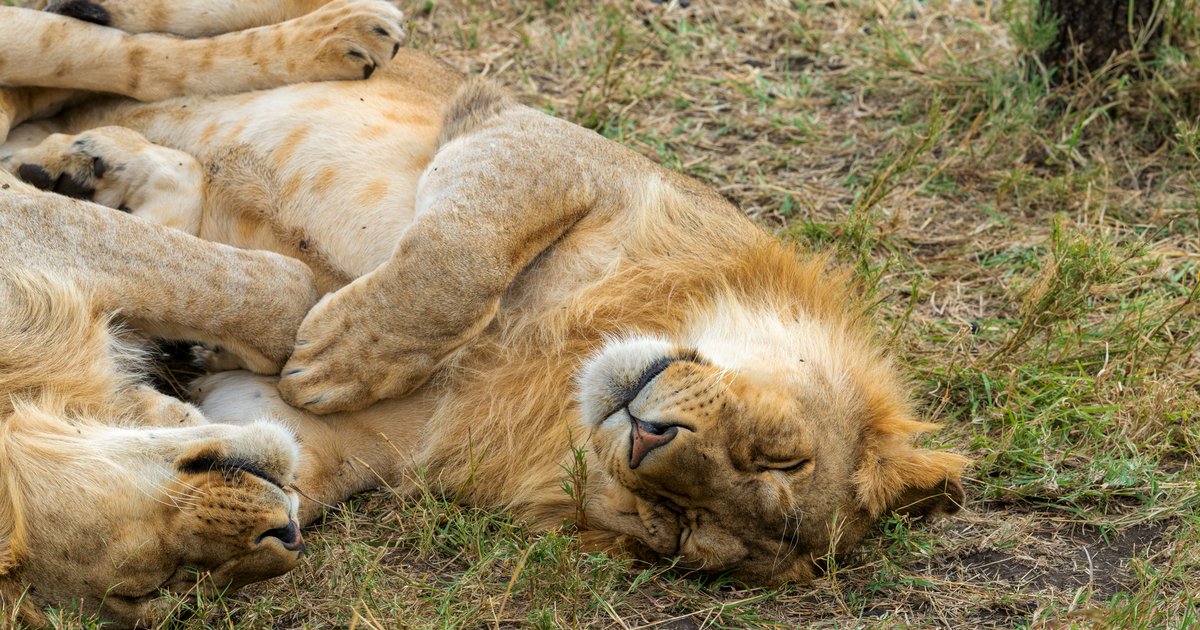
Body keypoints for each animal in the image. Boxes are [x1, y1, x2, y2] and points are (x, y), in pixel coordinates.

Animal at [0, 0, 968, 626]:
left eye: (681, 528)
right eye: (781, 452)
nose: (647, 438)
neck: (557, 370)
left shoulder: (325, 442)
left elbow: (261, 446)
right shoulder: (532, 140)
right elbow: (459, 250)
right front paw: (343, 348)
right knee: (127, 39)